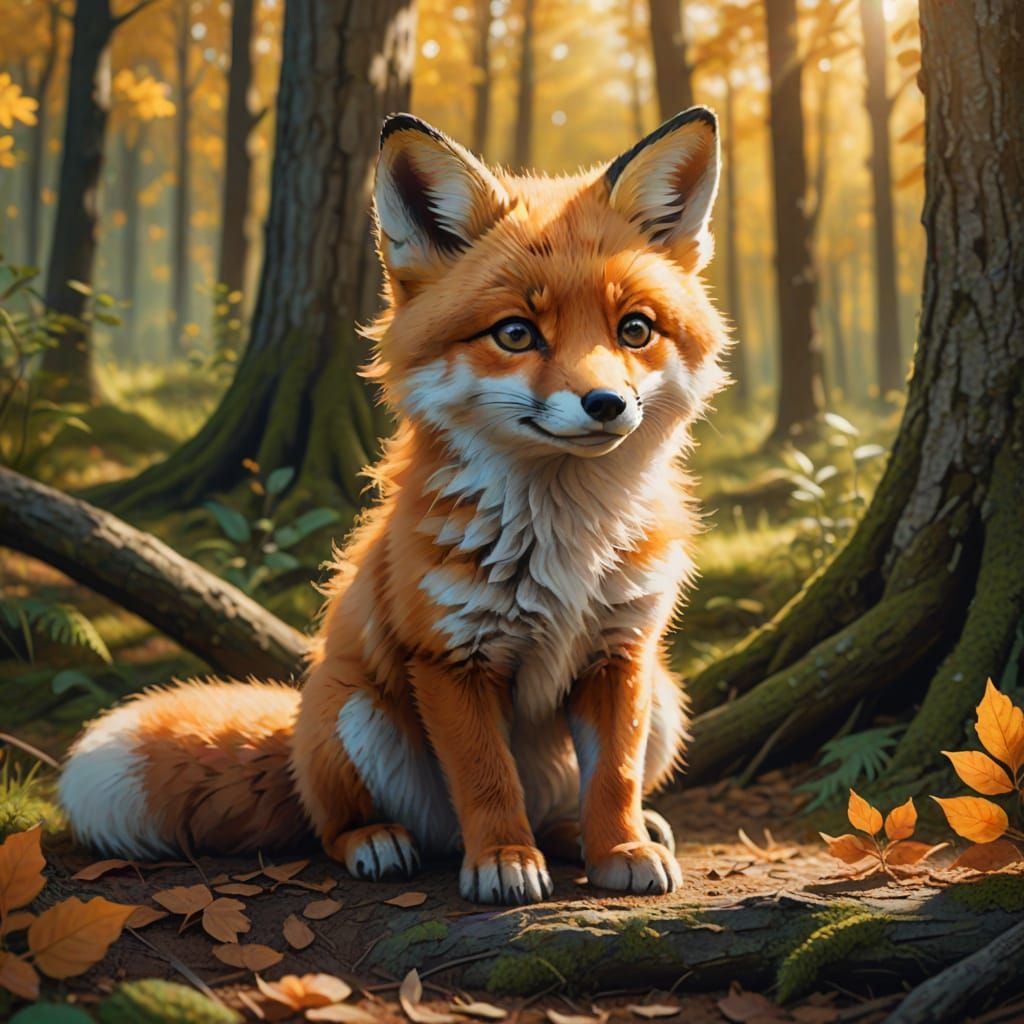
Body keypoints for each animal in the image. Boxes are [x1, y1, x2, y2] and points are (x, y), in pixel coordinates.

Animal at [59, 106, 729, 905]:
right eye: (515, 333)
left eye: (634, 329)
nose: (606, 404)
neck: (564, 540)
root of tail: (298, 721)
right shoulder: (448, 656)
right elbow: (487, 779)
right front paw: (503, 860)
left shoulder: (620, 653)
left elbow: (615, 779)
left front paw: (620, 848)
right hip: (354, 713)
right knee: (339, 823)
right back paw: (380, 841)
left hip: (665, 698)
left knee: (568, 803)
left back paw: (580, 834)